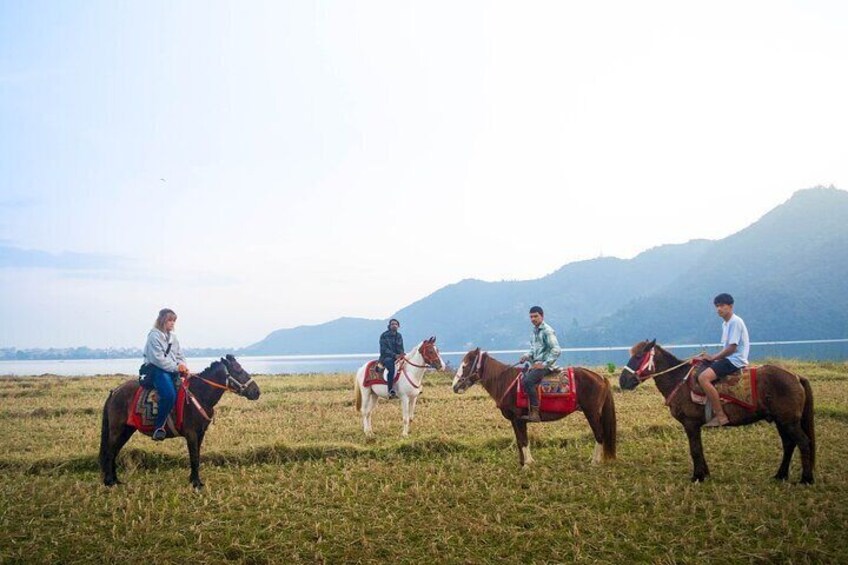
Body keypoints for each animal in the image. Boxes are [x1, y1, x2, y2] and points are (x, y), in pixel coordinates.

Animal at [100, 354, 260, 486]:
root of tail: (115, 391)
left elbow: (196, 456)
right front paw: (196, 483)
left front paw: (193, 480)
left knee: (114, 452)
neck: (199, 395)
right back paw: (109, 481)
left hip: (126, 430)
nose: (257, 392)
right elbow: (194, 457)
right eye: (238, 370)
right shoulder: (191, 434)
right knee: (110, 452)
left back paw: (115, 480)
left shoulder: (200, 433)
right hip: (117, 430)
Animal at [450, 348, 616, 468]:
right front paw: (523, 463)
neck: (506, 382)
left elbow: (523, 440)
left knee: (599, 435)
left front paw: (527, 464)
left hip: (591, 412)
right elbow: (519, 441)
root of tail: (601, 377)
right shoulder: (515, 420)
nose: (454, 386)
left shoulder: (519, 419)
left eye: (464, 366)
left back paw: (594, 461)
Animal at [616, 342, 816, 482]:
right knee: (789, 444)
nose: (623, 381)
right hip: (781, 421)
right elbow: (699, 448)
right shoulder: (695, 425)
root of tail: (795, 377)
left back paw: (806, 479)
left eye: (639, 356)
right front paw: (704, 473)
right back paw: (780, 475)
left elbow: (695, 449)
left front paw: (697, 476)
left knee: (803, 443)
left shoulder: (690, 424)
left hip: (788, 422)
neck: (679, 380)